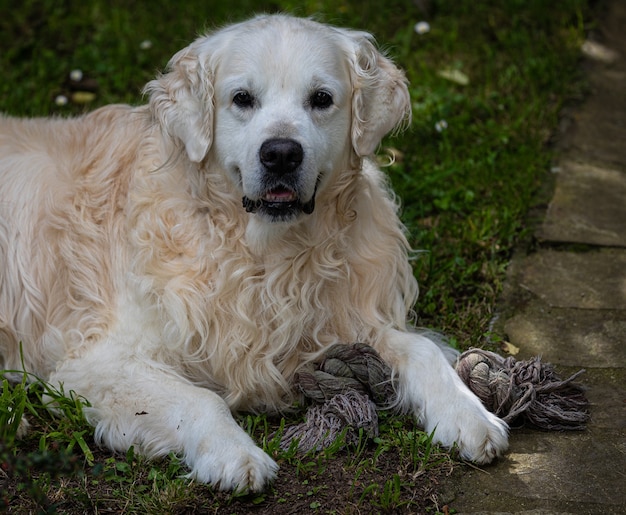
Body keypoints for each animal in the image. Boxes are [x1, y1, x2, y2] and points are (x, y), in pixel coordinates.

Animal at [0, 15, 504, 492]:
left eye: (321, 98)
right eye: (242, 98)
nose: (281, 154)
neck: (266, 256)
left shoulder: (341, 322)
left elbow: (423, 350)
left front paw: (468, 415)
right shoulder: (94, 362)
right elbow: (202, 398)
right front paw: (234, 454)